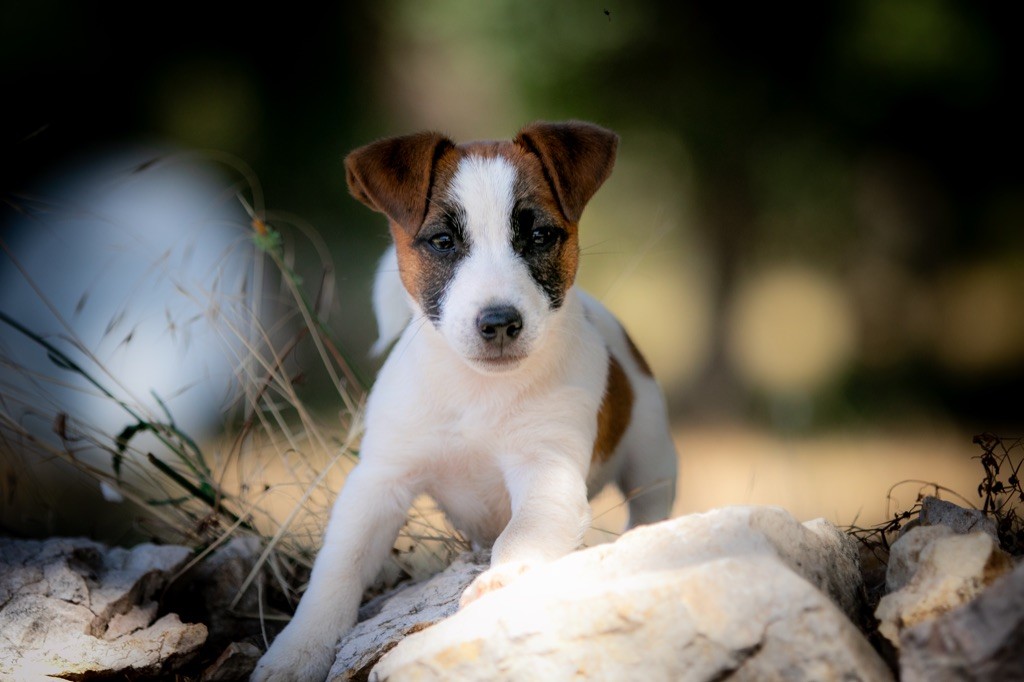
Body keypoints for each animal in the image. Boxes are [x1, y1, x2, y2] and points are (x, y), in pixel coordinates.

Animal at [248, 119, 679, 675]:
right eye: (443, 241)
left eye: (540, 236)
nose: (499, 322)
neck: (479, 390)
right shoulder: (379, 482)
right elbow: (338, 569)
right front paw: (298, 651)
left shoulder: (548, 470)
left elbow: (524, 531)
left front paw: (505, 578)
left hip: (651, 455)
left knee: (651, 502)